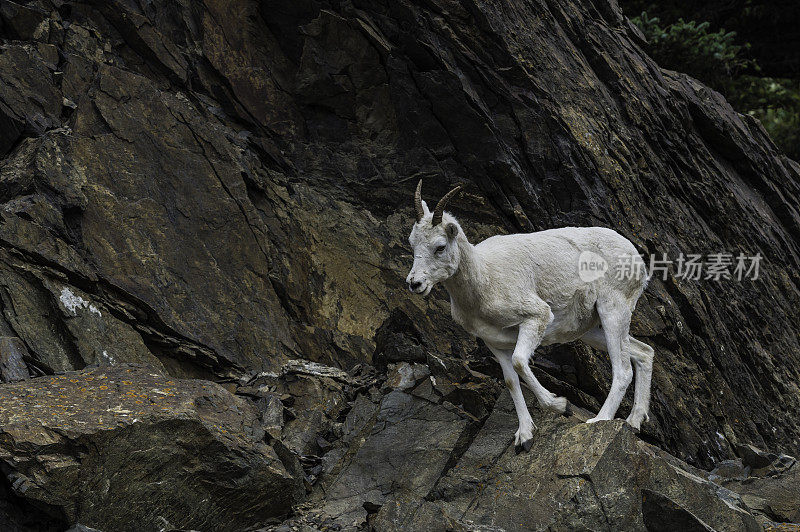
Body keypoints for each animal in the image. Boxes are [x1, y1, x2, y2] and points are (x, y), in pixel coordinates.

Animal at [410, 182, 652, 448]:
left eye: (440, 247)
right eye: (412, 244)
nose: (415, 283)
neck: (484, 279)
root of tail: (637, 258)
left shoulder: (536, 317)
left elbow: (519, 362)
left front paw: (560, 405)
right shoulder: (495, 343)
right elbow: (511, 381)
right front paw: (524, 436)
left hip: (613, 310)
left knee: (623, 369)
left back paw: (599, 420)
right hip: (592, 329)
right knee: (644, 353)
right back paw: (633, 422)